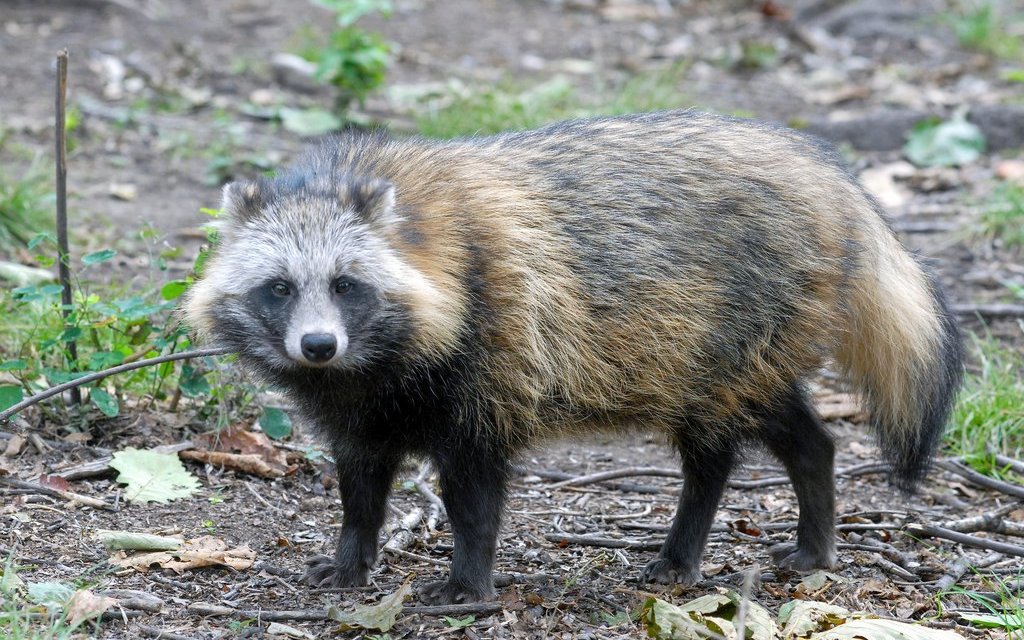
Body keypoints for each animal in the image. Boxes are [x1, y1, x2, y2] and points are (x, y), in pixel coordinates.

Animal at [182, 111, 958, 602]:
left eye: (346, 285)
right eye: (280, 288)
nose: (317, 346)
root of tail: (828, 173)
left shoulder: (493, 357)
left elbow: (473, 492)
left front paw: (469, 579)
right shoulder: (359, 406)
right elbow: (360, 483)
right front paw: (352, 556)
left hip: (737, 331)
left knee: (722, 447)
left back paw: (697, 542)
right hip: (724, 353)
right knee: (791, 440)